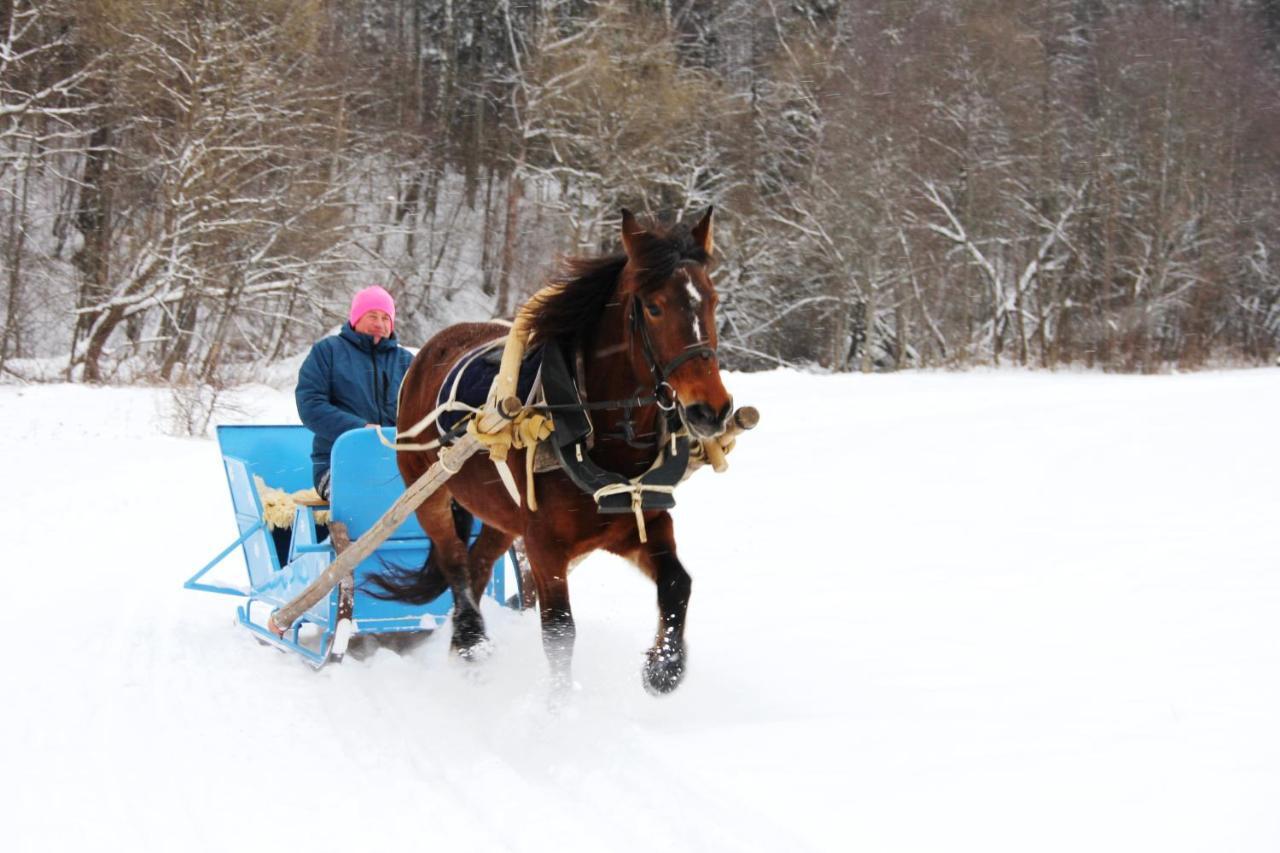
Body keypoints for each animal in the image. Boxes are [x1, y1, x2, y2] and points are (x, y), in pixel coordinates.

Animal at [371, 206, 732, 691]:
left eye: (712, 300)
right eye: (654, 307)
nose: (711, 410)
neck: (597, 430)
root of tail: (428, 351)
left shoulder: (641, 523)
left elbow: (678, 584)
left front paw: (664, 666)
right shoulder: (545, 546)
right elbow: (559, 632)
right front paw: (558, 707)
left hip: (499, 515)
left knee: (477, 563)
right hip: (428, 490)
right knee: (454, 562)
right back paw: (469, 637)